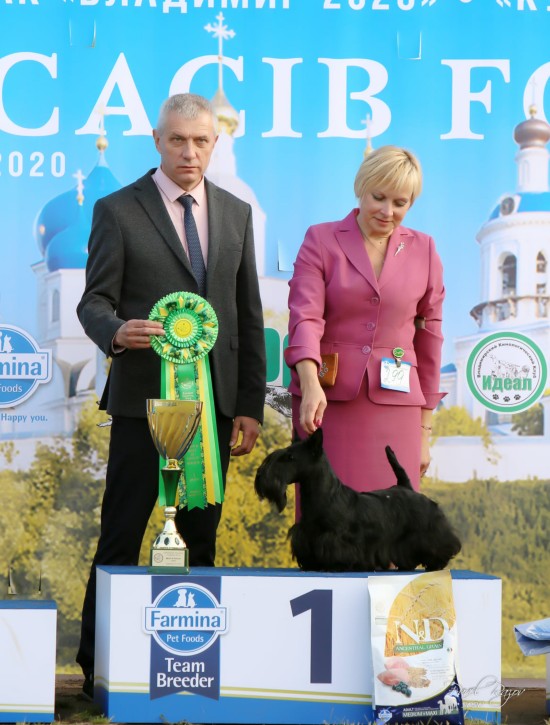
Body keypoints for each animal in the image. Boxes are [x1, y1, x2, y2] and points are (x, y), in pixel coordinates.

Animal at [254, 428, 461, 572]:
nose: (261, 476)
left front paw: (335, 565)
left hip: (429, 532)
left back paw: (435, 564)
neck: (326, 495)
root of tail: (406, 487)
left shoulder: (336, 538)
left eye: (290, 457)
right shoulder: (306, 534)